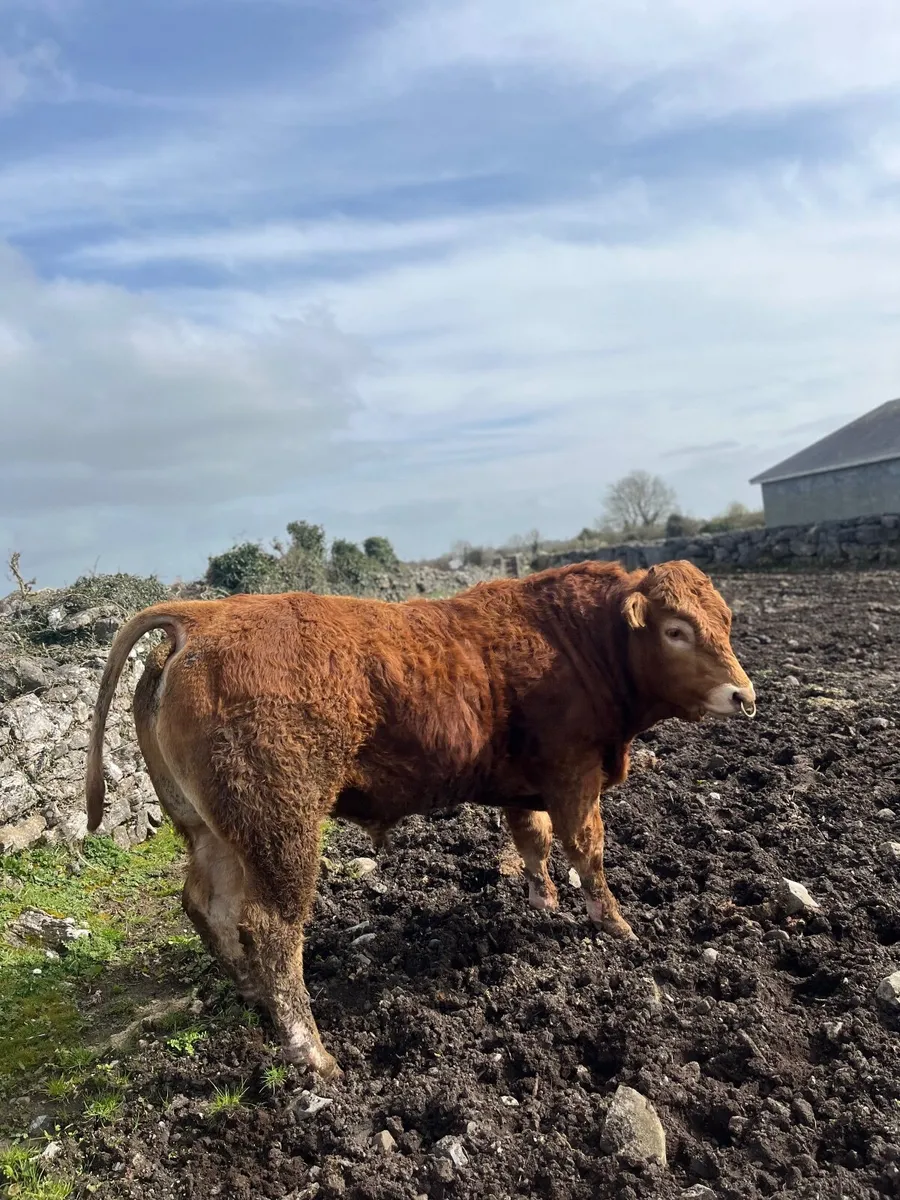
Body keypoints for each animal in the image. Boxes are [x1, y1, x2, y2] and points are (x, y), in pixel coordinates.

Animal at [85, 558, 755, 1079]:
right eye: (676, 629)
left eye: (725, 621)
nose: (745, 697)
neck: (575, 640)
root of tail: (202, 617)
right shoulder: (575, 776)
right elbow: (587, 854)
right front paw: (618, 928)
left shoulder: (528, 785)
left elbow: (532, 843)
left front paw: (543, 903)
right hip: (282, 829)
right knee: (272, 927)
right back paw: (313, 1053)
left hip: (211, 831)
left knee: (210, 906)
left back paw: (251, 992)